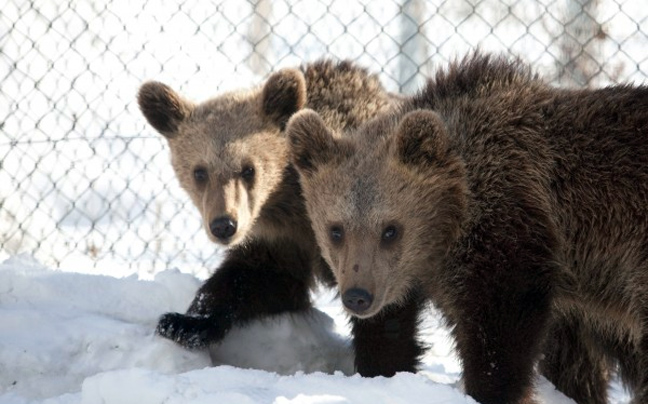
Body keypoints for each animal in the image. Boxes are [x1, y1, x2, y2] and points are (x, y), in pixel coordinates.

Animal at [288, 53, 648, 404]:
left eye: (390, 229)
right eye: (336, 230)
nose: (358, 296)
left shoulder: (508, 229)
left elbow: (499, 329)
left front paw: (493, 390)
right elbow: (393, 334)